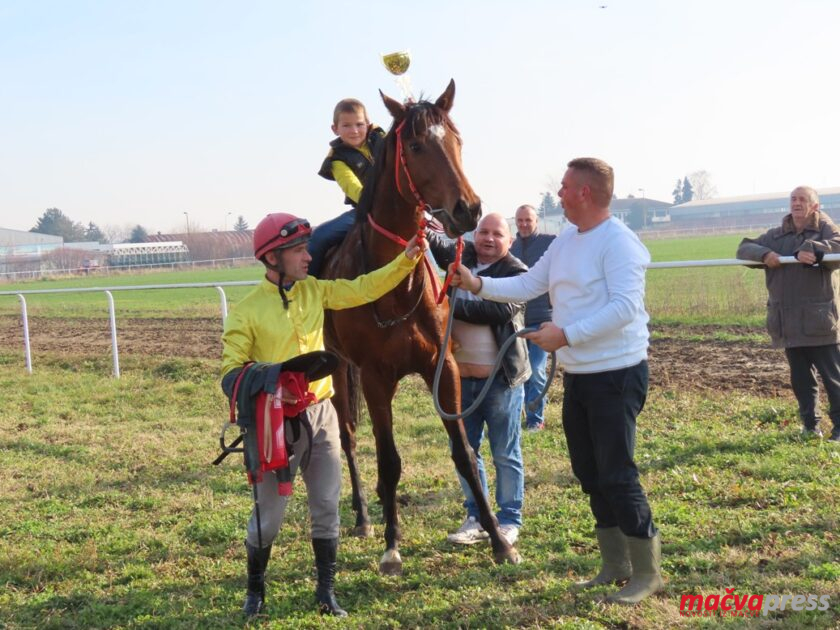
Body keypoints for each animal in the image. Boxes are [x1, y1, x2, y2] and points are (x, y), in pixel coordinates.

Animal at [324, 80, 520, 576]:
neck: (395, 285)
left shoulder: (442, 367)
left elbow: (465, 455)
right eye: (415, 146)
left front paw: (499, 541)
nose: (467, 209)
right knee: (349, 438)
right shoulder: (375, 378)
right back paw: (362, 517)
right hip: (333, 366)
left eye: (457, 139)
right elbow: (389, 461)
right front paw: (392, 547)